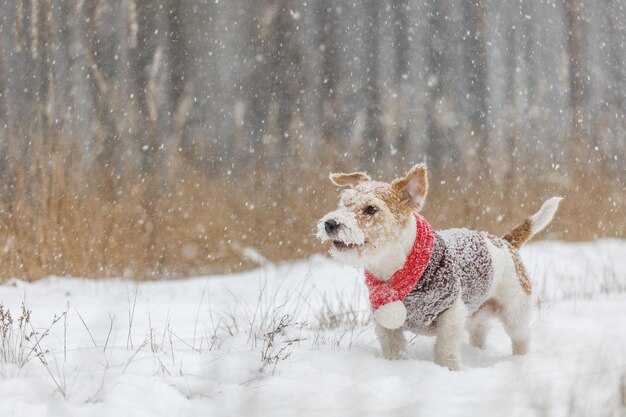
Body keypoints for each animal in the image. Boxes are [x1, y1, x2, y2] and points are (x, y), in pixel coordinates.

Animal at [316, 164, 560, 368]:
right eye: (344, 202)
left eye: (371, 209)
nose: (330, 223)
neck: (395, 269)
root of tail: (505, 242)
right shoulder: (386, 324)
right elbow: (393, 348)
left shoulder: (451, 316)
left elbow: (445, 350)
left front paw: (448, 370)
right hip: (478, 315)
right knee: (479, 333)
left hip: (515, 311)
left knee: (521, 339)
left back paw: (520, 361)